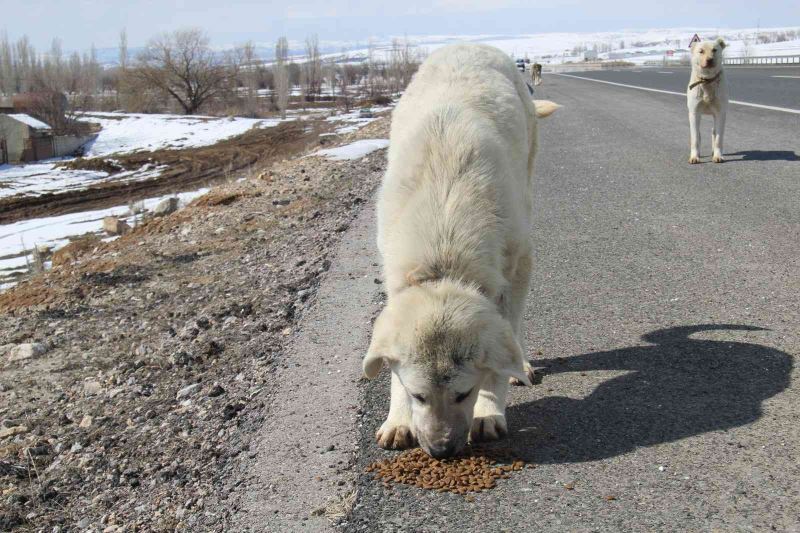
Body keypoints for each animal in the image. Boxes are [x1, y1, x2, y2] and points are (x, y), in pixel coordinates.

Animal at [366, 42, 560, 458]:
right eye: (418, 395)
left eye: (463, 393)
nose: (441, 450)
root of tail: (471, 44)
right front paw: (398, 419)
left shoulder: (517, 265)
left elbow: (506, 338)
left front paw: (489, 410)